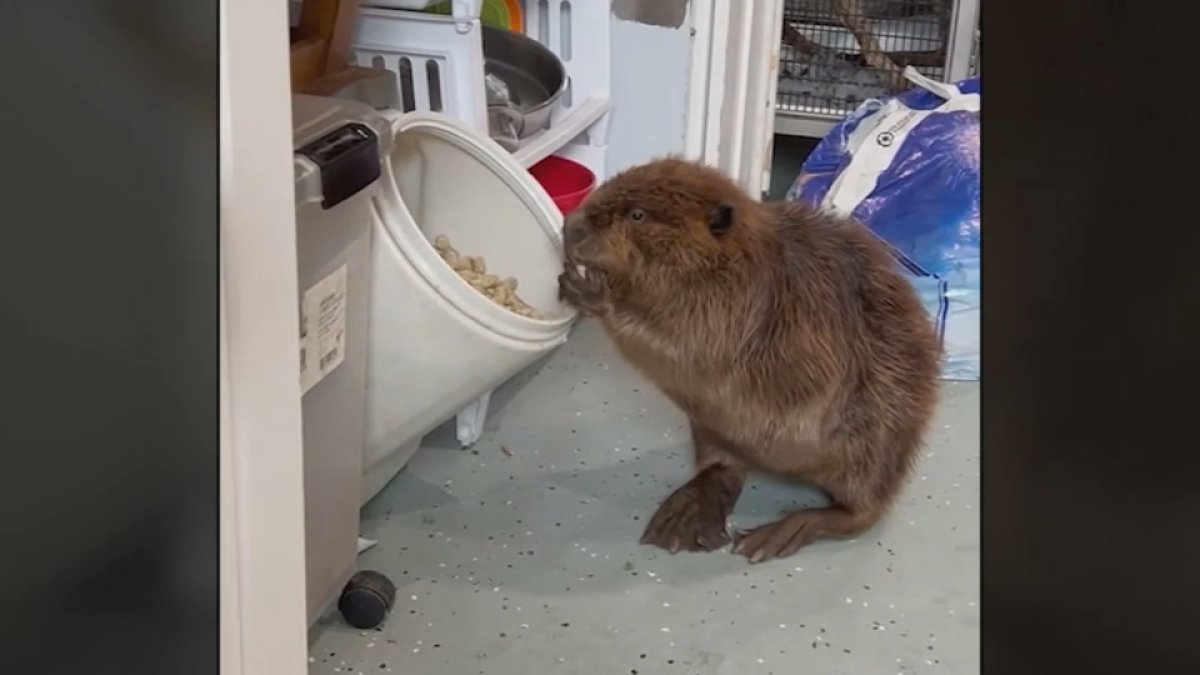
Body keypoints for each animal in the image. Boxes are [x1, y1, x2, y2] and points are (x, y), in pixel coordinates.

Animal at [556, 157, 940, 562]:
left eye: (637, 215)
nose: (572, 225)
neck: (737, 259)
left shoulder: (742, 303)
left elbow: (687, 345)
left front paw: (589, 290)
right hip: (711, 428)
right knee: (723, 466)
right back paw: (686, 520)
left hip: (876, 444)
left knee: (862, 512)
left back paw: (777, 534)